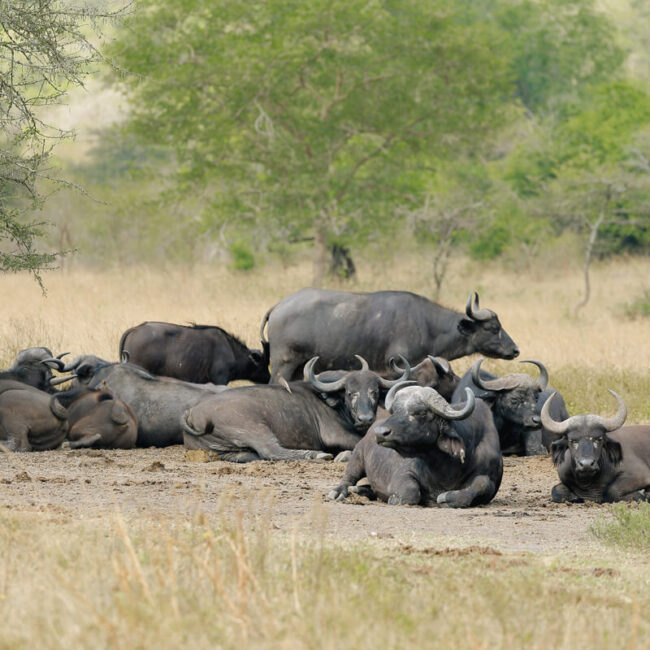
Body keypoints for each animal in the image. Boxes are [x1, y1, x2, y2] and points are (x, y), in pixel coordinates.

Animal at [182, 356, 409, 462]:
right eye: (350, 393)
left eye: (374, 392)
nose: (365, 418)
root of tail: (192, 413)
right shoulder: (335, 434)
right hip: (253, 428)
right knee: (271, 450)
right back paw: (318, 456)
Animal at [261, 289, 519, 382]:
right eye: (493, 328)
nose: (515, 350)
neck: (429, 326)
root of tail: (278, 306)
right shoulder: (400, 364)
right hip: (284, 364)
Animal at [328, 382, 503, 507]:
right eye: (395, 410)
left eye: (421, 412)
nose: (380, 432)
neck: (446, 467)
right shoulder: (403, 473)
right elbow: (410, 492)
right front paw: (395, 499)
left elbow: (483, 484)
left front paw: (449, 498)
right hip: (357, 456)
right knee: (348, 477)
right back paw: (340, 492)